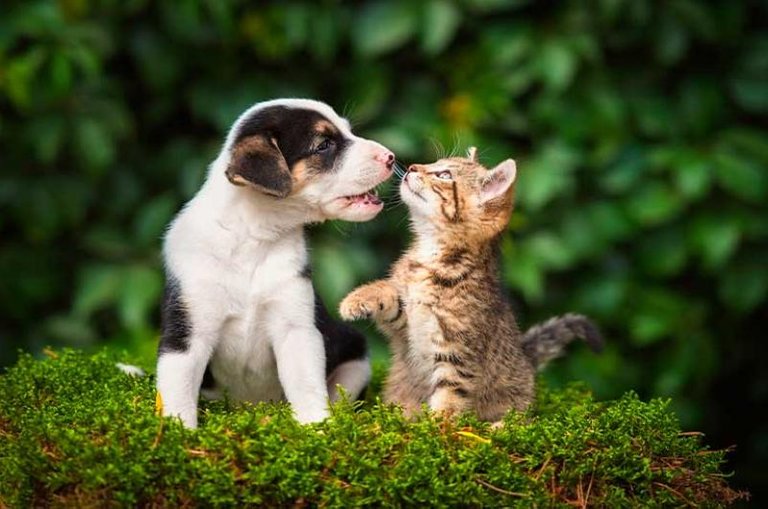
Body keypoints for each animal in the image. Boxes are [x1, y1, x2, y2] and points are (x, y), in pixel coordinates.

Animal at [158, 97, 396, 426]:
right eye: (324, 145)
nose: (391, 157)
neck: (252, 236)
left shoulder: (296, 329)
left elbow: (307, 387)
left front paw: (316, 427)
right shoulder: (186, 335)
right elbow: (178, 394)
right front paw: (179, 432)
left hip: (356, 357)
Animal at [340, 147, 600, 420]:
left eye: (444, 175)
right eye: (434, 163)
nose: (411, 167)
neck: (432, 256)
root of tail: (526, 360)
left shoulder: (456, 353)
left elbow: (449, 399)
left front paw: (436, 426)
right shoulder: (407, 324)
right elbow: (391, 296)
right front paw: (358, 299)